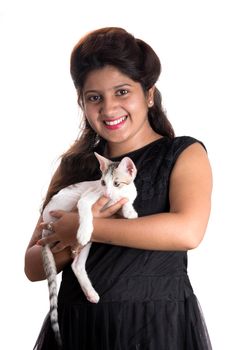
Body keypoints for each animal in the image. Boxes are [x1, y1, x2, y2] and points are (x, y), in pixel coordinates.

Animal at [41, 152, 138, 346]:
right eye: (103, 183)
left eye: (116, 184)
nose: (106, 193)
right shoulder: (87, 198)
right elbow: (86, 211)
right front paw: (85, 229)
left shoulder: (127, 195)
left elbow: (126, 202)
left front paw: (129, 210)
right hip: (68, 201)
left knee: (76, 265)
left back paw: (91, 293)